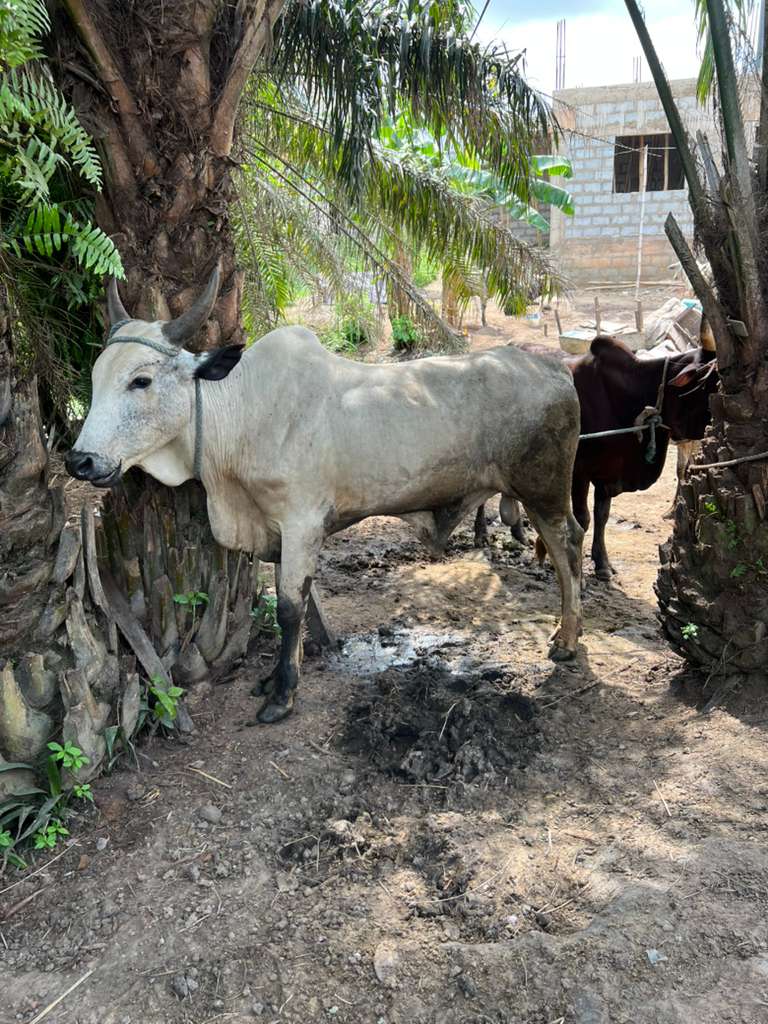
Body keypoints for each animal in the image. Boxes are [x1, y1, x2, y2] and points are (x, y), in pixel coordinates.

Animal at [65, 267, 585, 724]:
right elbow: (292, 604)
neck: (241, 412)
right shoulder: (277, 530)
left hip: (544, 492)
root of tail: (555, 368)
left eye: (141, 380)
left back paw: (567, 640)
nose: (79, 462)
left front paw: (283, 695)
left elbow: (290, 609)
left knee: (568, 550)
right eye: (94, 378)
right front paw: (276, 677)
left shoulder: (301, 523)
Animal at [474, 328, 717, 580]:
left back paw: (519, 533)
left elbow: (602, 516)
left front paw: (602, 564)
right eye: (715, 380)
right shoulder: (579, 471)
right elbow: (583, 518)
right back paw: (481, 533)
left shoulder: (607, 473)